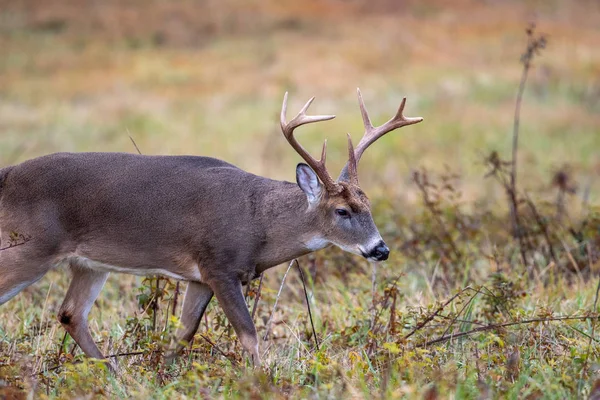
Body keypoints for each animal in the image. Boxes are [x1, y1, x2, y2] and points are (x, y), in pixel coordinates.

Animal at [0, 89, 422, 368]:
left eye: (368, 205)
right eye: (342, 210)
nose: (380, 249)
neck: (258, 222)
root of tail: (7, 174)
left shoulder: (198, 276)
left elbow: (183, 334)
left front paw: (163, 375)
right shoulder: (219, 266)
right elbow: (249, 334)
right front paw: (262, 380)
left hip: (88, 263)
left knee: (71, 314)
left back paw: (113, 373)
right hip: (29, 246)